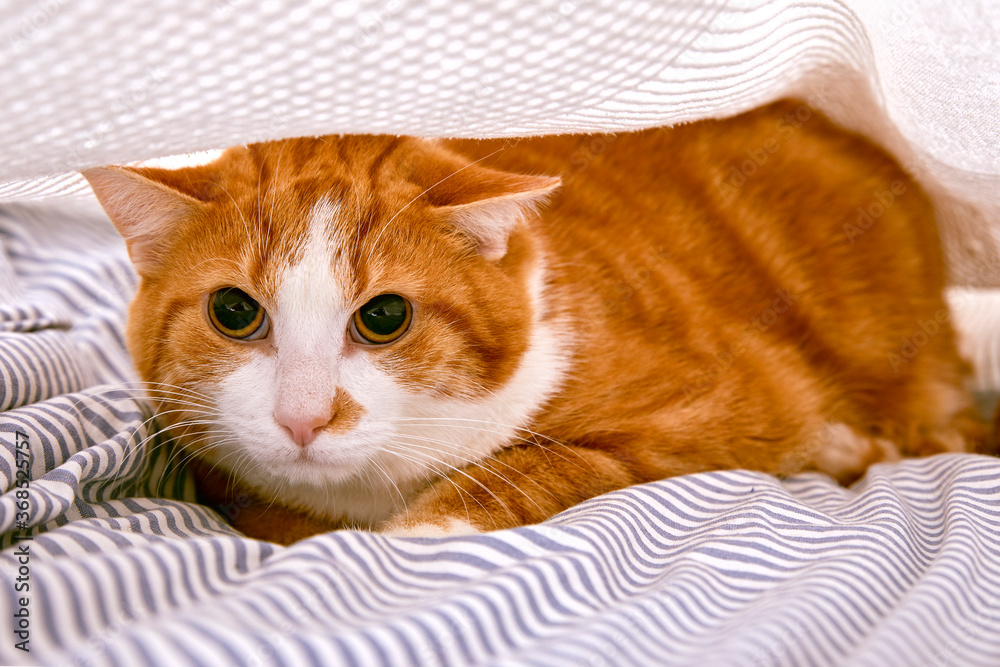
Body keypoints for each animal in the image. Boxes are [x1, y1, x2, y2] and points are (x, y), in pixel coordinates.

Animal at [84, 102, 984, 544]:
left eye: (383, 317)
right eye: (235, 311)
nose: (303, 417)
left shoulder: (729, 404)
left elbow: (558, 460)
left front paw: (429, 524)